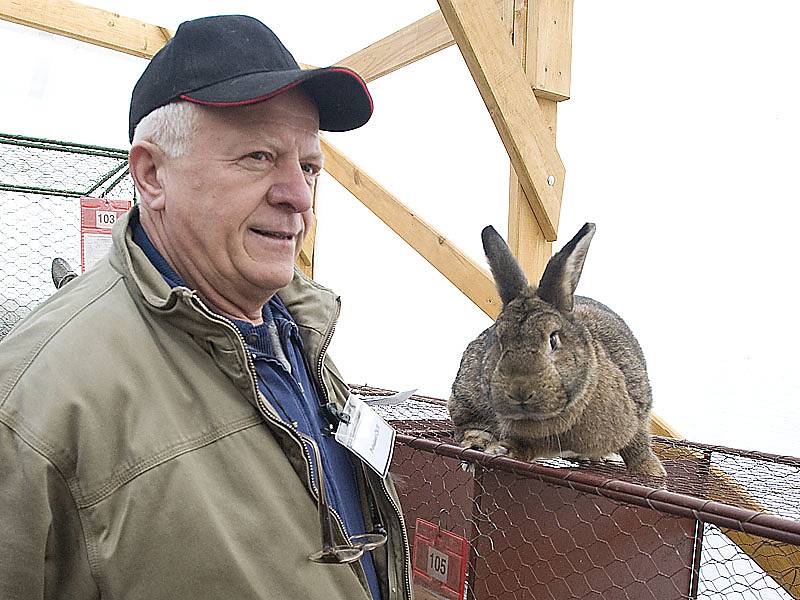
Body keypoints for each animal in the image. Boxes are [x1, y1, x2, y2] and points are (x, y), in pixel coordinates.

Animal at [446, 224, 664, 478]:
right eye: (498, 340)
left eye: (553, 339)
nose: (519, 390)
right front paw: (502, 450)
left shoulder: (638, 405)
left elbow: (638, 444)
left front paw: (651, 472)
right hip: (465, 395)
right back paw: (476, 447)